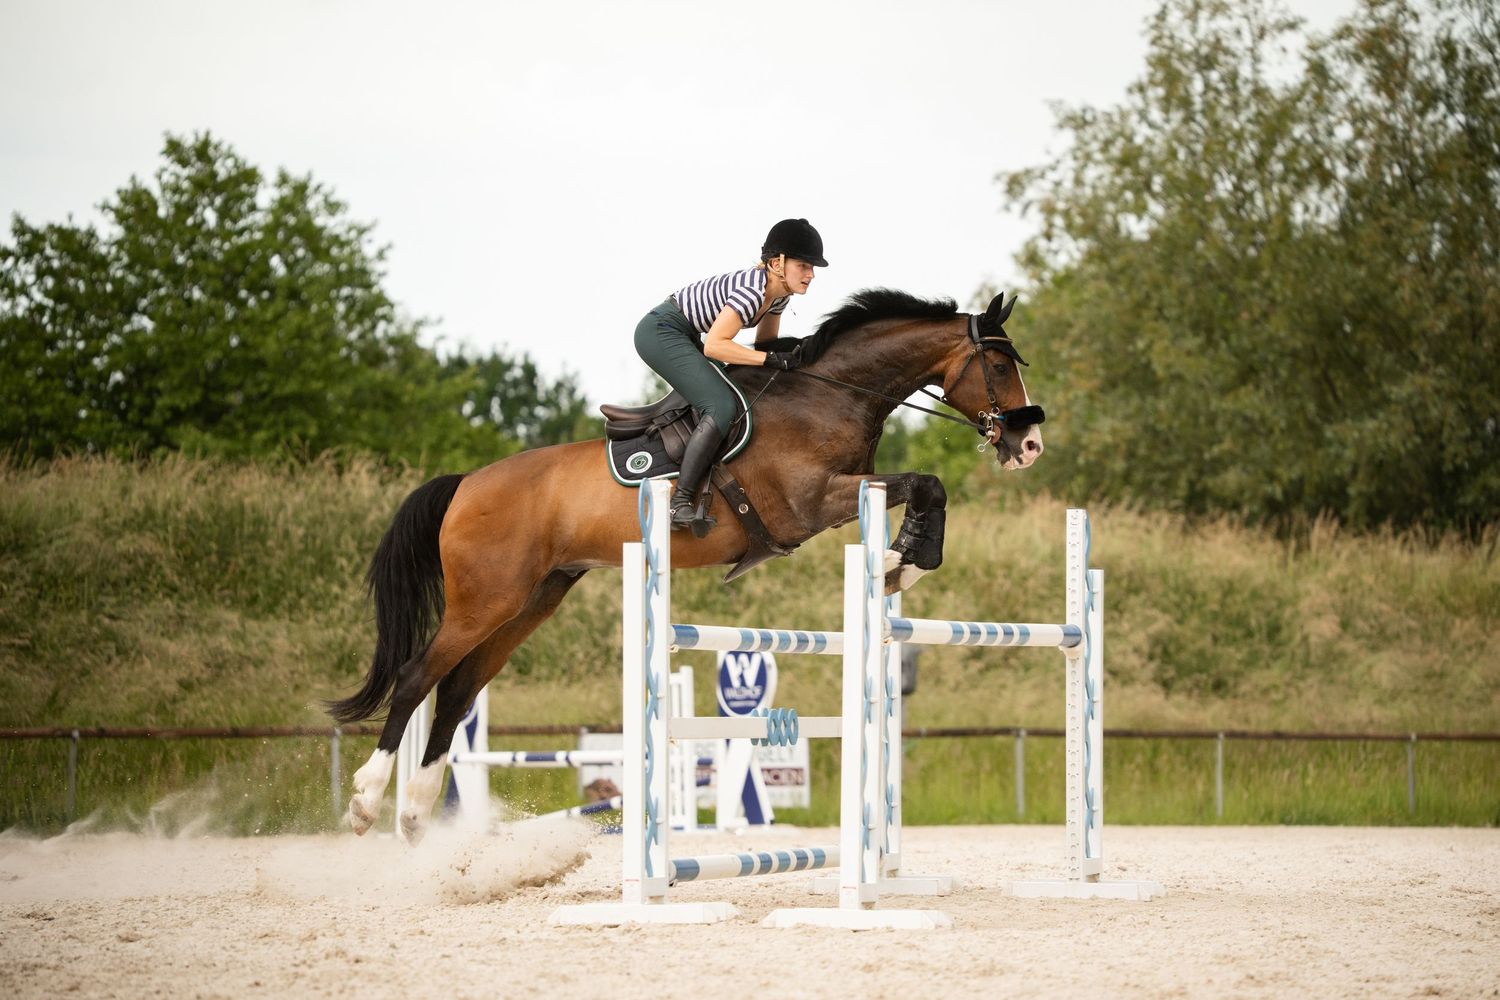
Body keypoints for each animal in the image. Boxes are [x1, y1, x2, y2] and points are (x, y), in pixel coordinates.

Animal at [327, 288, 1045, 843]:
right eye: (998, 363)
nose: (1030, 443)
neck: (827, 397)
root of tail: (465, 483)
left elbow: (927, 486)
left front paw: (905, 563)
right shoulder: (812, 504)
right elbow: (925, 482)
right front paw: (903, 560)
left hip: (533, 601)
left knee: (456, 691)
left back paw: (417, 813)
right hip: (487, 600)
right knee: (418, 677)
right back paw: (366, 802)